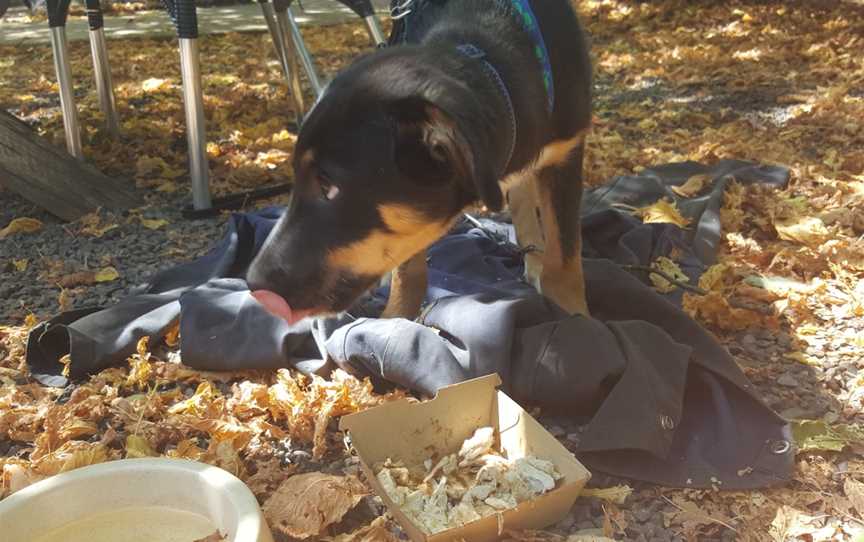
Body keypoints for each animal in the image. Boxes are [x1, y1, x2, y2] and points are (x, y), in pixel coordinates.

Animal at [246, 0, 592, 324]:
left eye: (329, 186)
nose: (253, 286)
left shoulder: (566, 153)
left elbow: (563, 260)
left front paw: (578, 320)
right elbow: (408, 270)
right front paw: (393, 321)